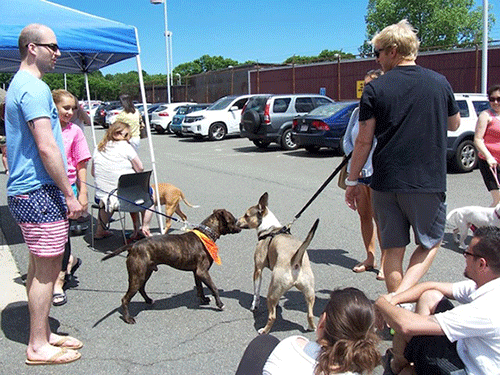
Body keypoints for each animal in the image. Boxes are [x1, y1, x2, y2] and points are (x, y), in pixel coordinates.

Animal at [236, 194, 318, 334]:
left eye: (246, 215)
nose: (236, 221)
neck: (270, 229)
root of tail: (296, 260)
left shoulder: (257, 270)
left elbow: (256, 292)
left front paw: (254, 305)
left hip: (272, 293)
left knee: (272, 316)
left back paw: (264, 330)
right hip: (309, 293)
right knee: (310, 314)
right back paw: (311, 327)